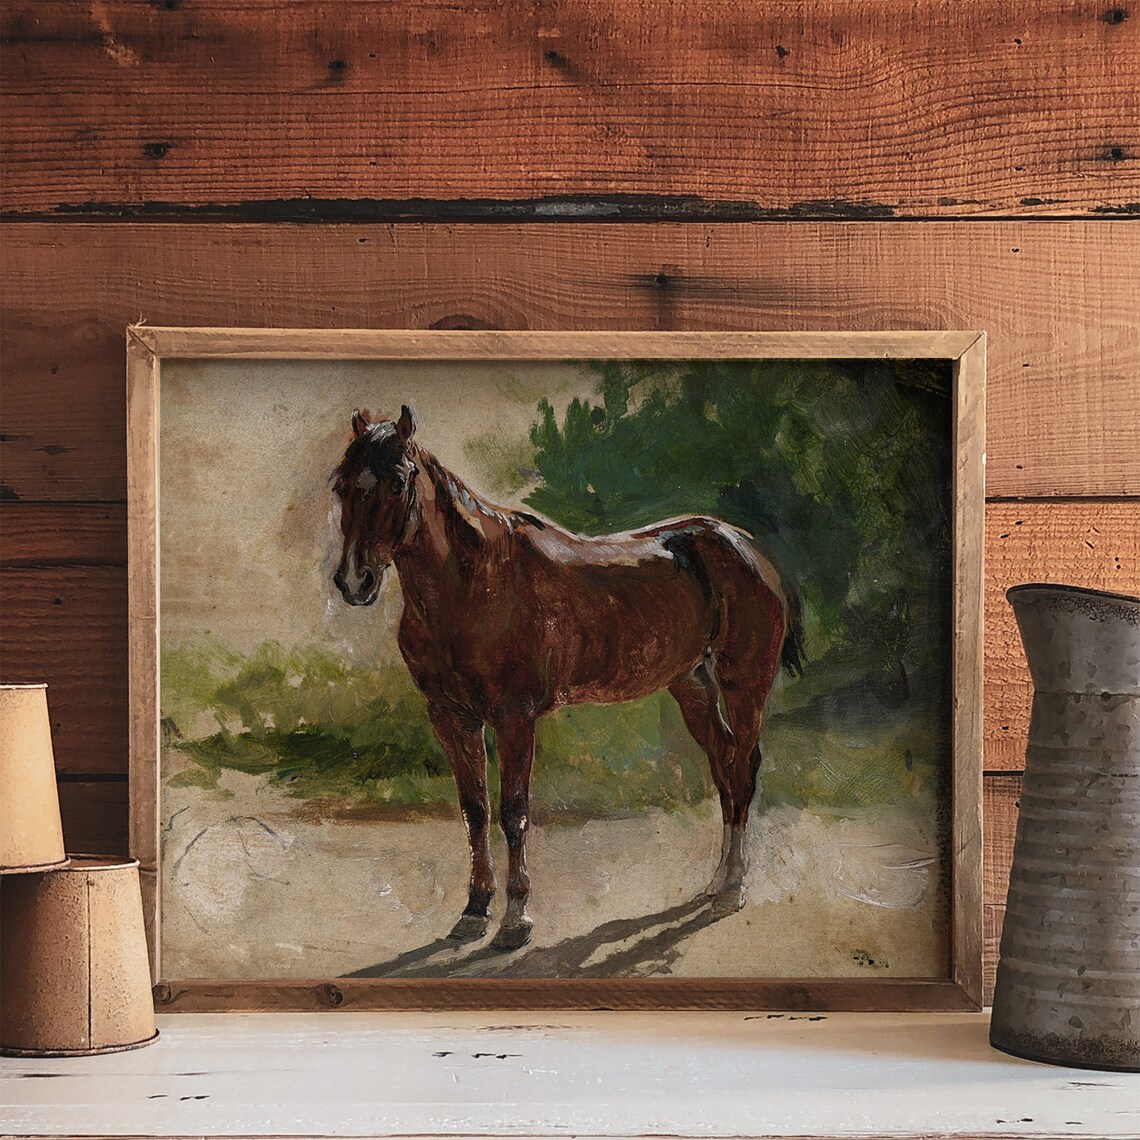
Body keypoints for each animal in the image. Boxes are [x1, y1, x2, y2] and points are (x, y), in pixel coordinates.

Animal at [332, 406, 804, 951]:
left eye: (397, 483)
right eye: (340, 485)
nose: (354, 581)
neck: (478, 582)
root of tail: (746, 547)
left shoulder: (514, 719)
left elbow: (514, 812)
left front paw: (515, 920)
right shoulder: (451, 717)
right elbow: (474, 811)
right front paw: (474, 911)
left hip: (742, 683)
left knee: (743, 767)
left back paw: (733, 888)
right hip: (692, 686)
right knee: (725, 765)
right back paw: (718, 881)